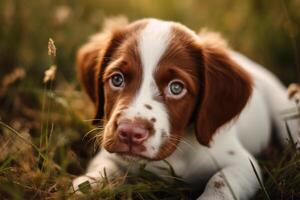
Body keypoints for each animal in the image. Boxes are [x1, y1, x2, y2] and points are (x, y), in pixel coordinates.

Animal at [72, 18, 298, 199]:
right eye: (117, 79)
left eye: (176, 87)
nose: (130, 133)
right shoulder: (111, 155)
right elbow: (100, 171)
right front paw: (85, 185)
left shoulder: (243, 164)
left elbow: (219, 183)